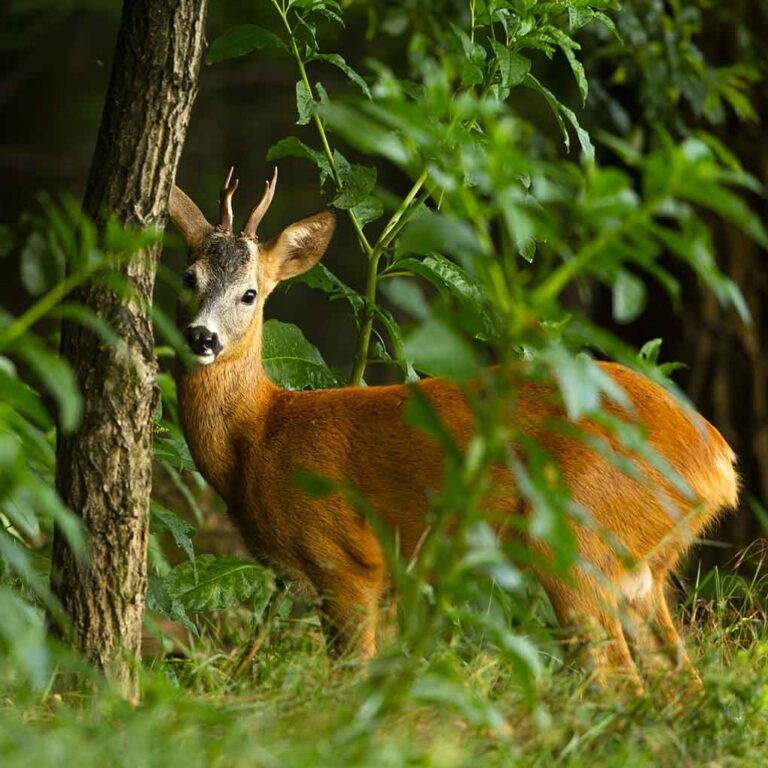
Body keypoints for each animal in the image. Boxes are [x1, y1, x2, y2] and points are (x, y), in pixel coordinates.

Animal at [168, 165, 736, 692]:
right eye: (189, 277)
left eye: (249, 293)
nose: (202, 337)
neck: (260, 434)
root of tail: (718, 462)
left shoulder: (348, 559)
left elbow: (352, 676)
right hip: (641, 568)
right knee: (678, 681)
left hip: (578, 539)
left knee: (615, 677)